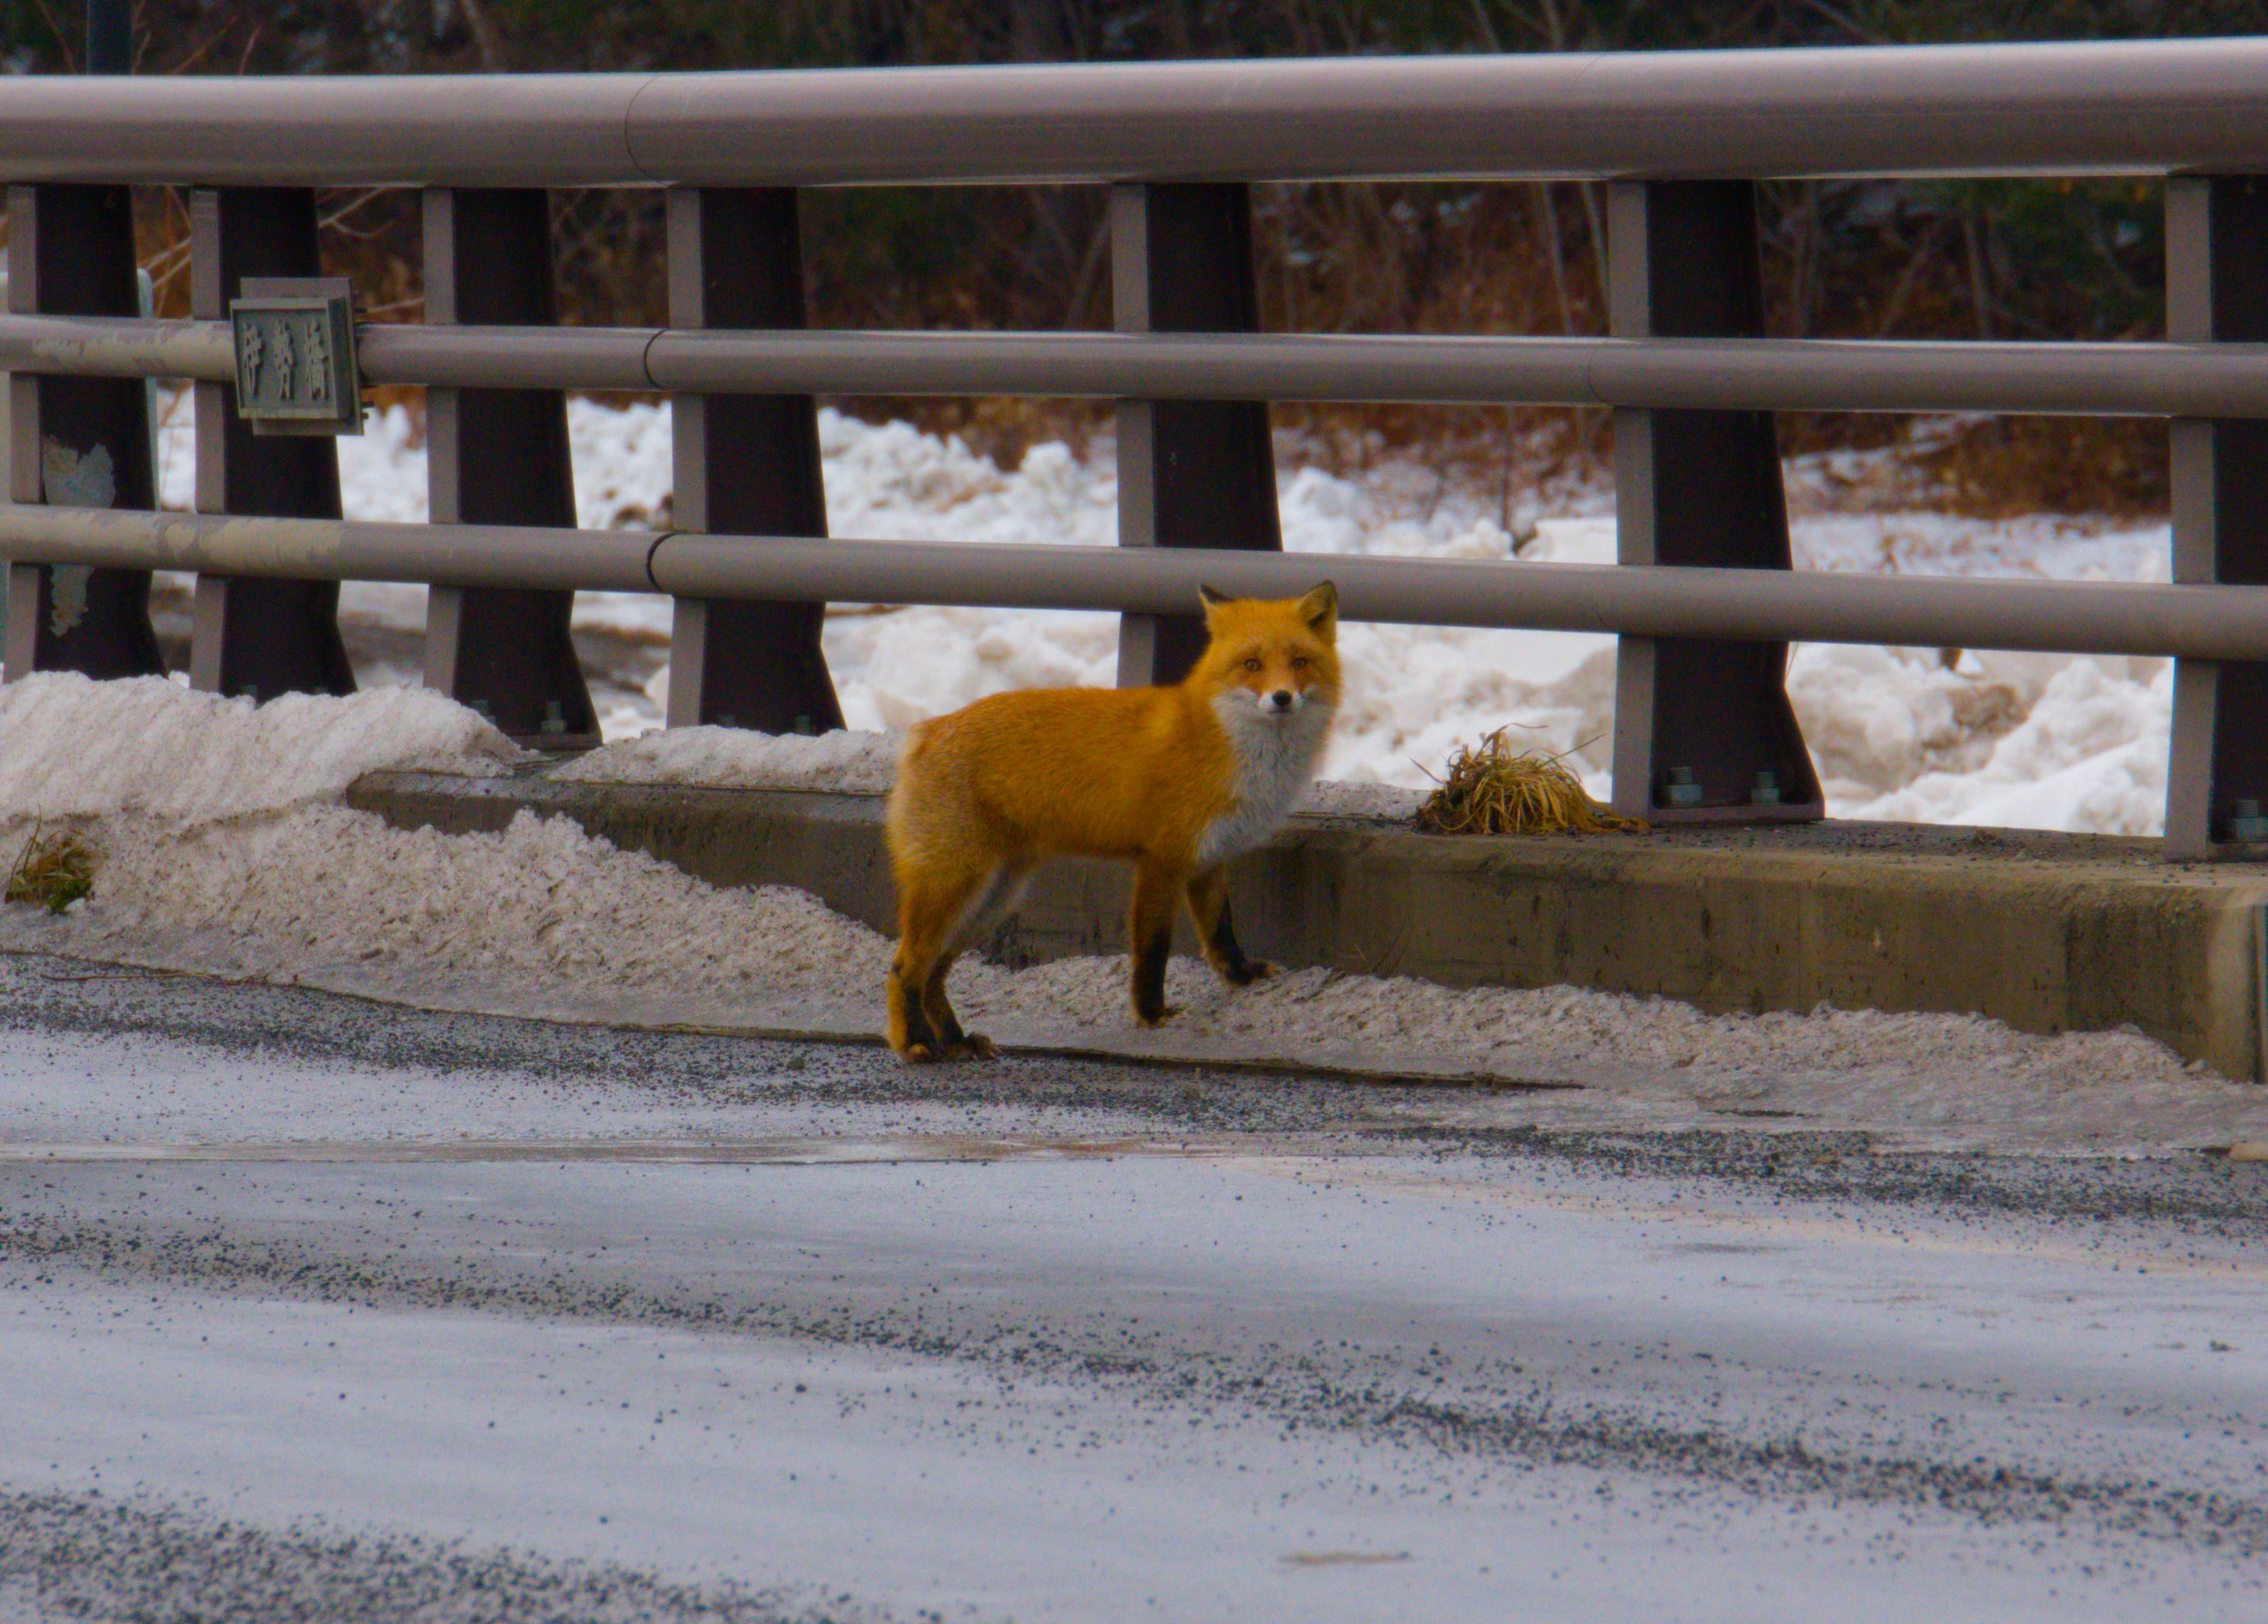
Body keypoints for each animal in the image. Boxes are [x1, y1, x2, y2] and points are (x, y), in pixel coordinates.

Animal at [883, 581, 1341, 1062]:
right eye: (1252, 665)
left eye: (1299, 662)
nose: (1282, 697)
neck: (1219, 739)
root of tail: (927, 730)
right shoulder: (1162, 860)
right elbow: (1153, 949)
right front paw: (1152, 1015)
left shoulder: (1210, 858)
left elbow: (1221, 932)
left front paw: (1242, 977)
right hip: (956, 887)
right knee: (904, 968)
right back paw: (915, 1042)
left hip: (993, 897)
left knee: (933, 974)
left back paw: (956, 1041)